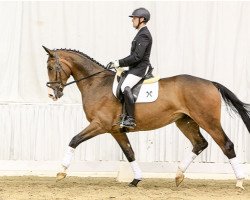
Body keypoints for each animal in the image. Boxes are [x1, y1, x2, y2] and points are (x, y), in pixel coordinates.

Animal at [42, 46, 249, 189]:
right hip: (185, 121)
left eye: (51, 67)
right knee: (200, 143)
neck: (96, 83)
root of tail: (211, 83)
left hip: (208, 120)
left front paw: (61, 172)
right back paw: (178, 175)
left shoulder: (100, 124)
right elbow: (130, 153)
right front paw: (136, 179)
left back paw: (239, 182)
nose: (52, 94)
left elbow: (74, 140)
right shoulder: (116, 130)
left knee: (226, 145)